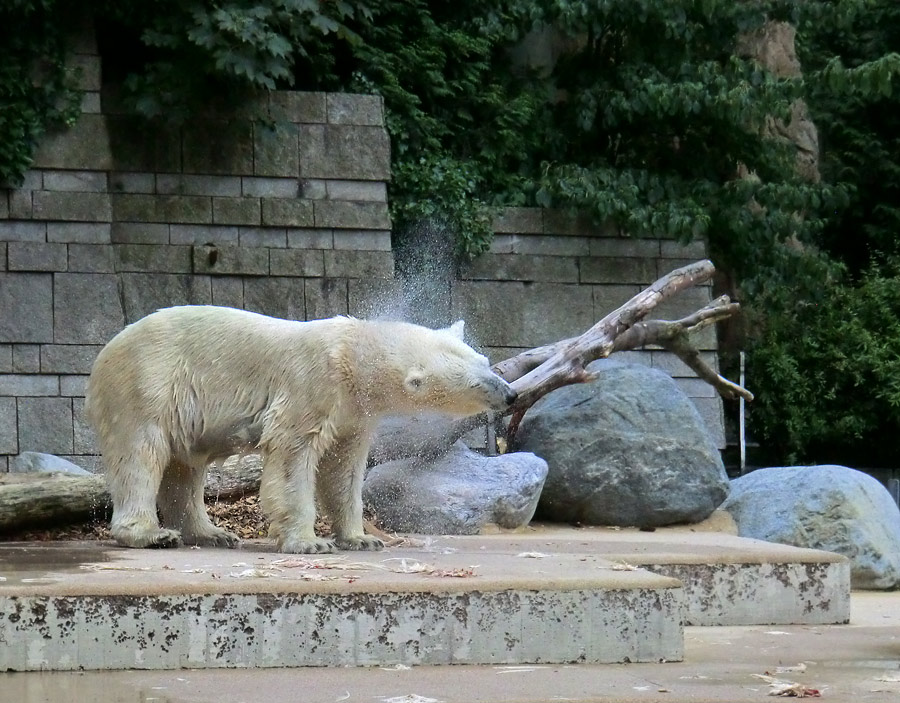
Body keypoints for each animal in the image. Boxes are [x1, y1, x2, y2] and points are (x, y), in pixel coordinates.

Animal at [86, 306, 520, 552]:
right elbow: (293, 458)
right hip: (147, 384)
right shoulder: (310, 386)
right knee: (141, 455)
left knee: (185, 467)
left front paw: (362, 538)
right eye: (477, 382)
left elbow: (343, 470)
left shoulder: (353, 413)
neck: (351, 354)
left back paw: (211, 533)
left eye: (485, 361)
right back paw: (151, 534)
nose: (511, 394)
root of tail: (105, 351)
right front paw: (310, 542)